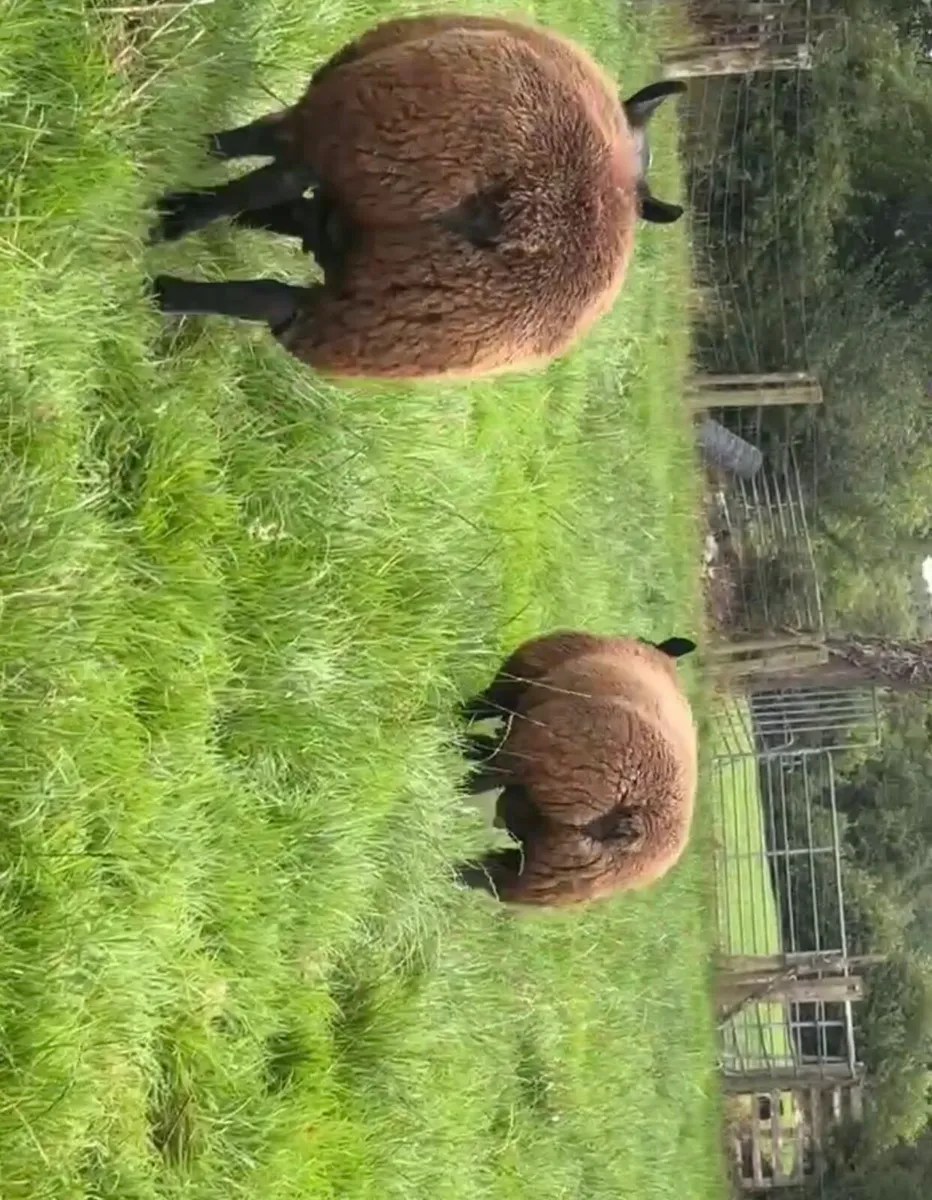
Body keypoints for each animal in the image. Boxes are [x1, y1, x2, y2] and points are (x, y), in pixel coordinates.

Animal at [149, 12, 686, 380]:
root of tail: (531, 212)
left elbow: (269, 172)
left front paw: (200, 186)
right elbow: (285, 202)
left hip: (363, 132)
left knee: (281, 178)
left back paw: (166, 238)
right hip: (397, 320)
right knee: (274, 297)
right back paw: (166, 271)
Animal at [455, 630, 698, 907]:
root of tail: (633, 826)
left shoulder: (517, 677)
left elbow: (482, 708)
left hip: (537, 757)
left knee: (484, 775)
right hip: (557, 876)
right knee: (491, 878)